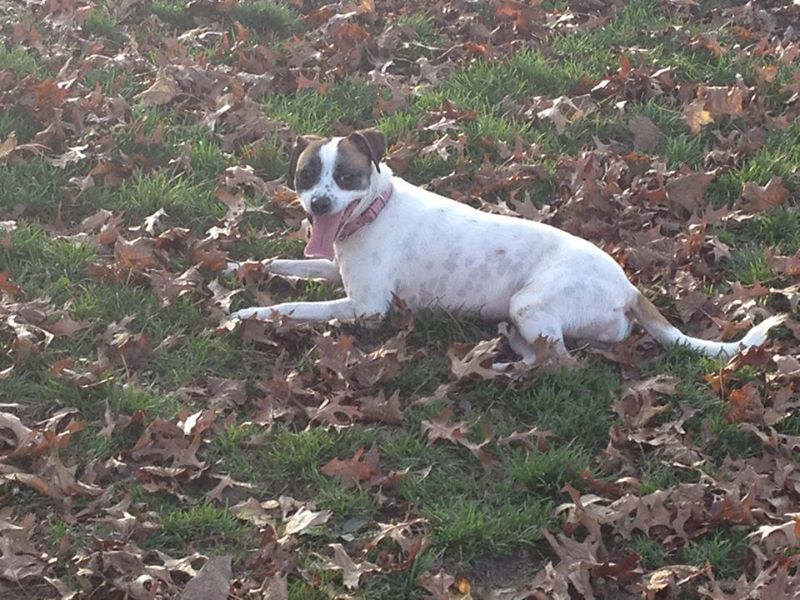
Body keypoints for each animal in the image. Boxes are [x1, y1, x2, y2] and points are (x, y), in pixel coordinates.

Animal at [229, 129, 785, 364]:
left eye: (346, 177)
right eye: (306, 175)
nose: (320, 203)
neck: (374, 208)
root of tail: (628, 288)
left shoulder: (364, 308)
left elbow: (296, 307)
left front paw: (249, 314)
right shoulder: (335, 270)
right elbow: (286, 264)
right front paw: (244, 266)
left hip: (530, 302)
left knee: (562, 363)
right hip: (534, 316)